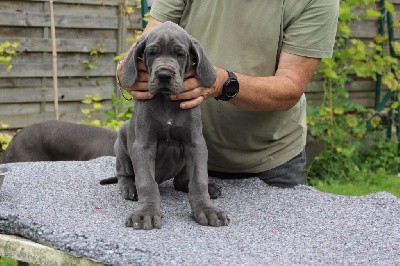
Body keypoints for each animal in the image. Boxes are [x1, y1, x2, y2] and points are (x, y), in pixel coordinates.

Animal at [115, 20, 228, 230]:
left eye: (180, 54)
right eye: (152, 52)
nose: (164, 75)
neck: (167, 101)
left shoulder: (196, 143)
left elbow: (199, 180)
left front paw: (207, 209)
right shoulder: (143, 145)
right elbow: (146, 182)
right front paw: (146, 213)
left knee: (183, 181)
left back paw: (209, 188)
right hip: (121, 139)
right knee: (124, 173)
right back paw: (129, 188)